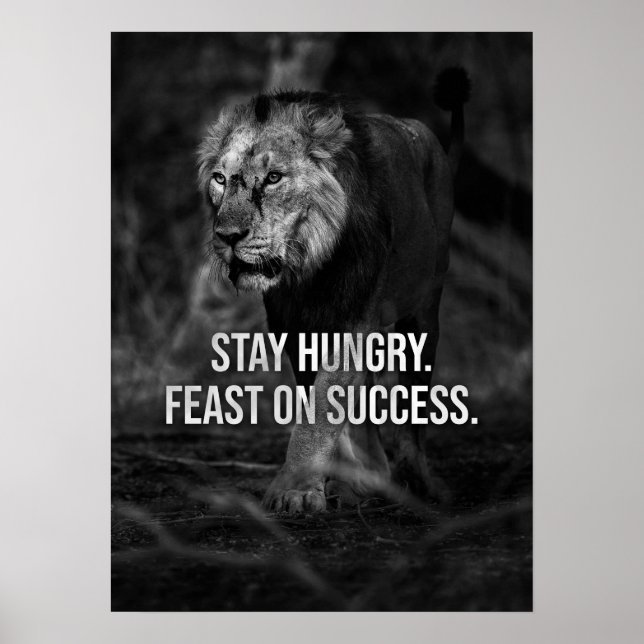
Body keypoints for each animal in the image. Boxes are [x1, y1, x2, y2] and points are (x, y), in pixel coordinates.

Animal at [197, 68, 470, 514]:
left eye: (273, 178)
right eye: (220, 179)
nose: (227, 237)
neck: (310, 265)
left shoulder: (352, 316)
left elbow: (323, 406)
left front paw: (294, 489)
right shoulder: (293, 326)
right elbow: (324, 404)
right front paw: (336, 482)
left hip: (424, 311)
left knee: (413, 409)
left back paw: (417, 480)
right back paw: (369, 477)